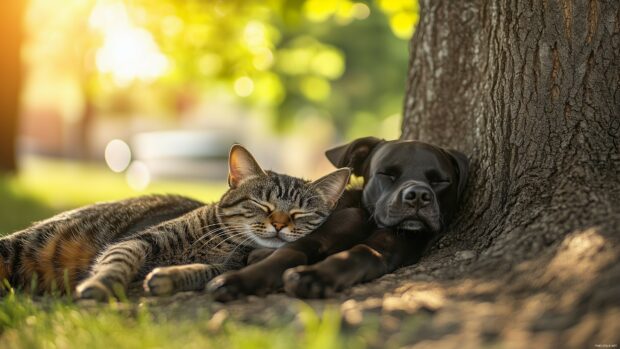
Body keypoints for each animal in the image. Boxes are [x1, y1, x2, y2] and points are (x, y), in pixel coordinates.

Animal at [0, 144, 348, 300]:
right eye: (262, 204)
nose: (279, 223)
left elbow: (202, 272)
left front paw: (168, 277)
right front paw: (101, 283)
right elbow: (117, 262)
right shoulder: (138, 241)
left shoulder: (228, 266)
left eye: (301, 214)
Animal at [206, 137, 468, 298]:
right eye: (386, 173)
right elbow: (286, 254)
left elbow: (357, 255)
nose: (418, 196)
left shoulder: (384, 250)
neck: (370, 222)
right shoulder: (314, 237)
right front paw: (237, 280)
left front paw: (315, 276)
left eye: (440, 180)